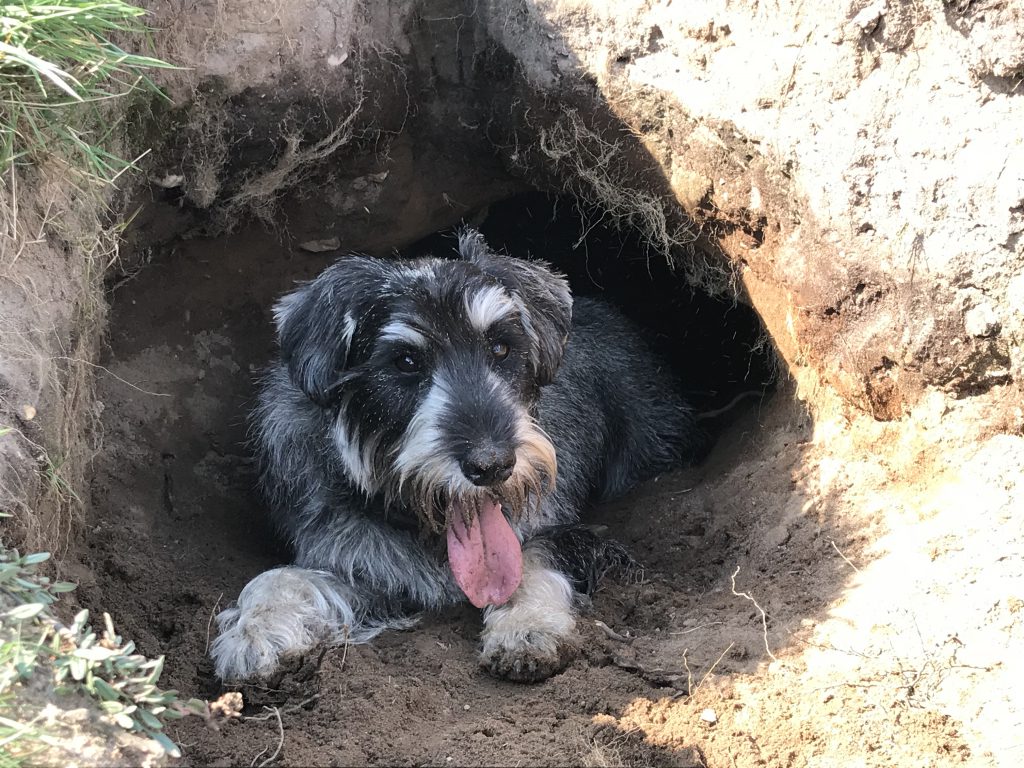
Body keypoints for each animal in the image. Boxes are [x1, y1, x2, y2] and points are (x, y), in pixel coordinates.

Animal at [209, 230, 704, 684]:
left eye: (501, 348)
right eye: (405, 362)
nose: (492, 465)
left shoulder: (567, 534)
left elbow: (535, 556)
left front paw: (528, 627)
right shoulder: (363, 563)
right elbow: (280, 577)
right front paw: (255, 635)